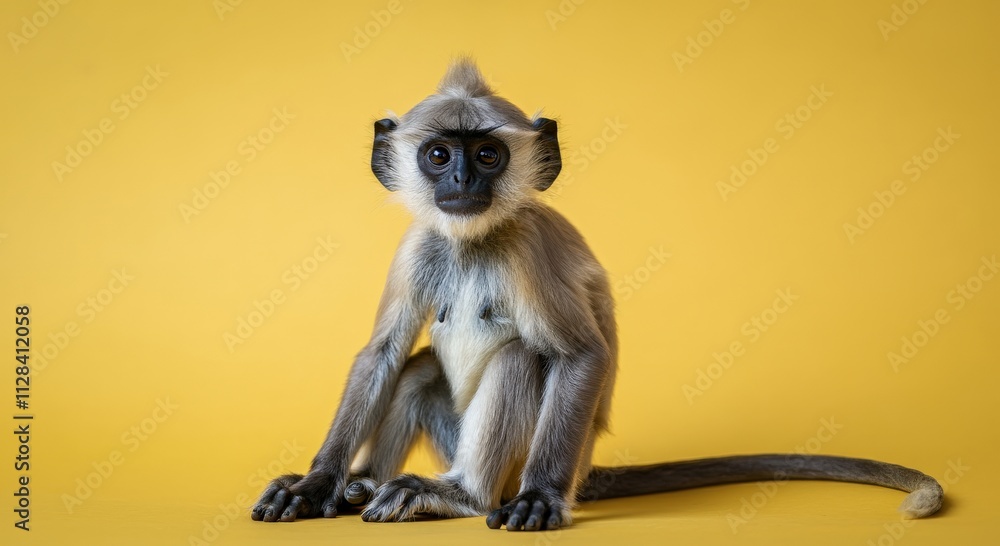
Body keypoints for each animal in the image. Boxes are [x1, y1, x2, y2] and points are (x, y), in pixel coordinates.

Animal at [250, 59, 944, 532]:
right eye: (439, 155)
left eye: (488, 155)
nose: (462, 181)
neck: (476, 241)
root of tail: (585, 468)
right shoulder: (419, 245)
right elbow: (382, 354)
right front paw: (314, 485)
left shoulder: (527, 247)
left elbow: (579, 355)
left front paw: (540, 500)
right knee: (419, 367)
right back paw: (361, 485)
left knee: (519, 357)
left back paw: (462, 496)